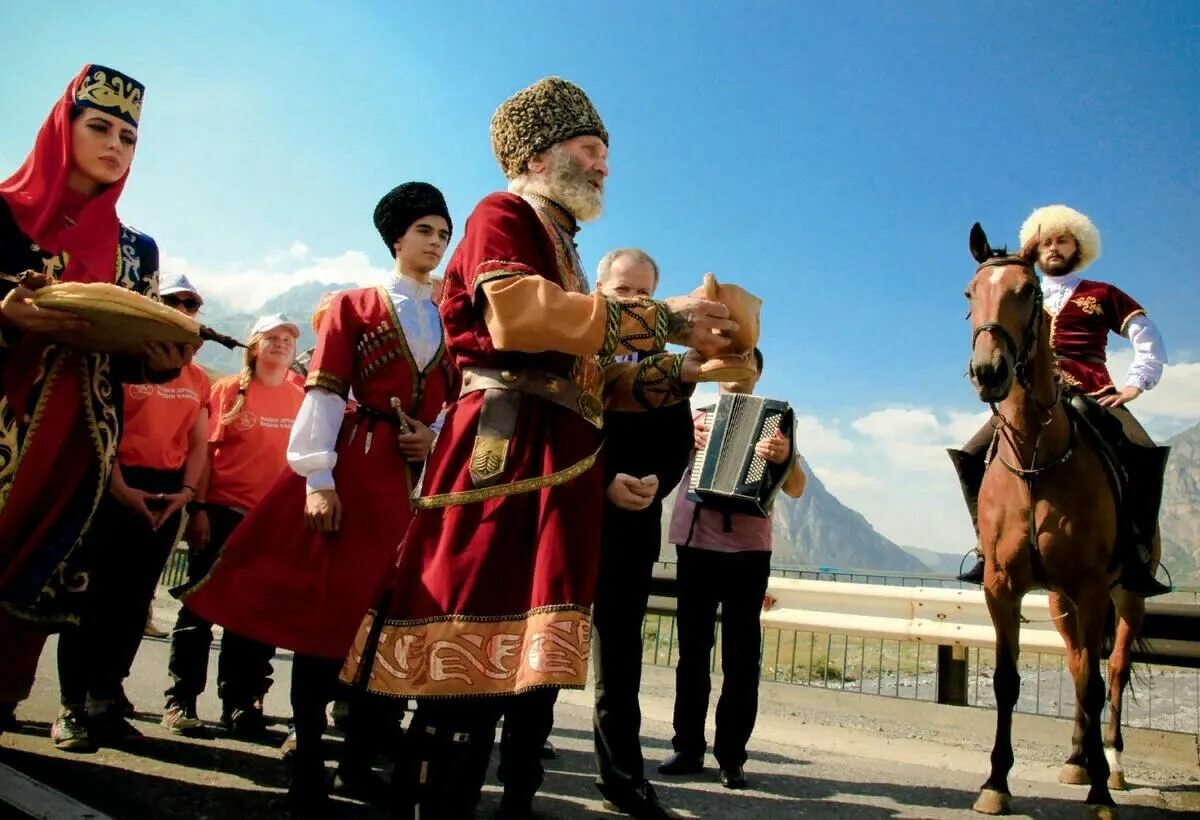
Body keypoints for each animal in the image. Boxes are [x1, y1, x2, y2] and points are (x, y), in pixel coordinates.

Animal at [955, 220, 1152, 816]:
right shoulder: (1002, 585)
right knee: (1077, 662)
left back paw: (1110, 765)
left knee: (1109, 671)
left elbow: (1095, 684)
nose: (989, 372)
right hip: (1063, 602)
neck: (1037, 456)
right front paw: (996, 782)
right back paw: (1077, 757)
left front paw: (1100, 794)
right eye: (970, 294)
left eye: (1027, 292)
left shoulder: (1091, 586)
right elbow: (1007, 680)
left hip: (1123, 596)